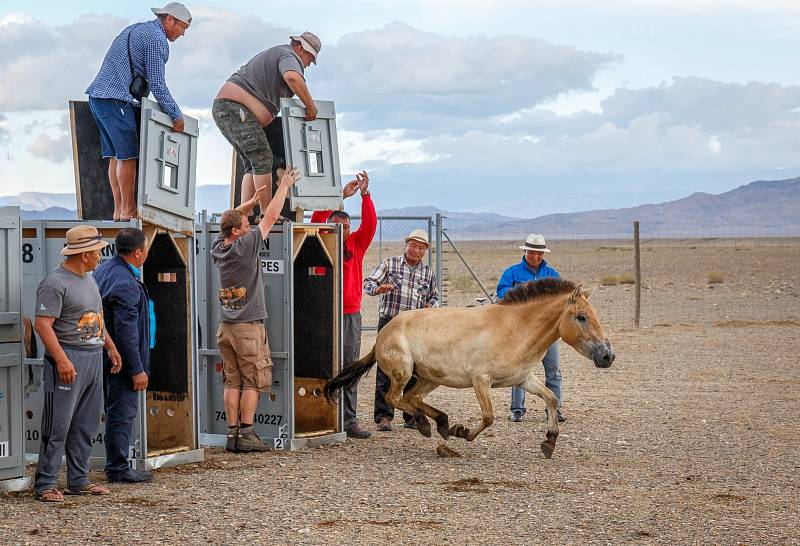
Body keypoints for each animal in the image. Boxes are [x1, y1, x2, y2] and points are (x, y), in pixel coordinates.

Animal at [322, 276, 616, 454]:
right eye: (581, 317)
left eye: (594, 315)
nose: (607, 356)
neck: (516, 329)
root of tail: (384, 333)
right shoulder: (481, 381)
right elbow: (488, 417)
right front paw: (462, 432)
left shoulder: (524, 379)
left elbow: (552, 398)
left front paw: (549, 441)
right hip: (403, 371)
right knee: (394, 397)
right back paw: (428, 424)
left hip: (430, 377)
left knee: (412, 398)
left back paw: (438, 422)